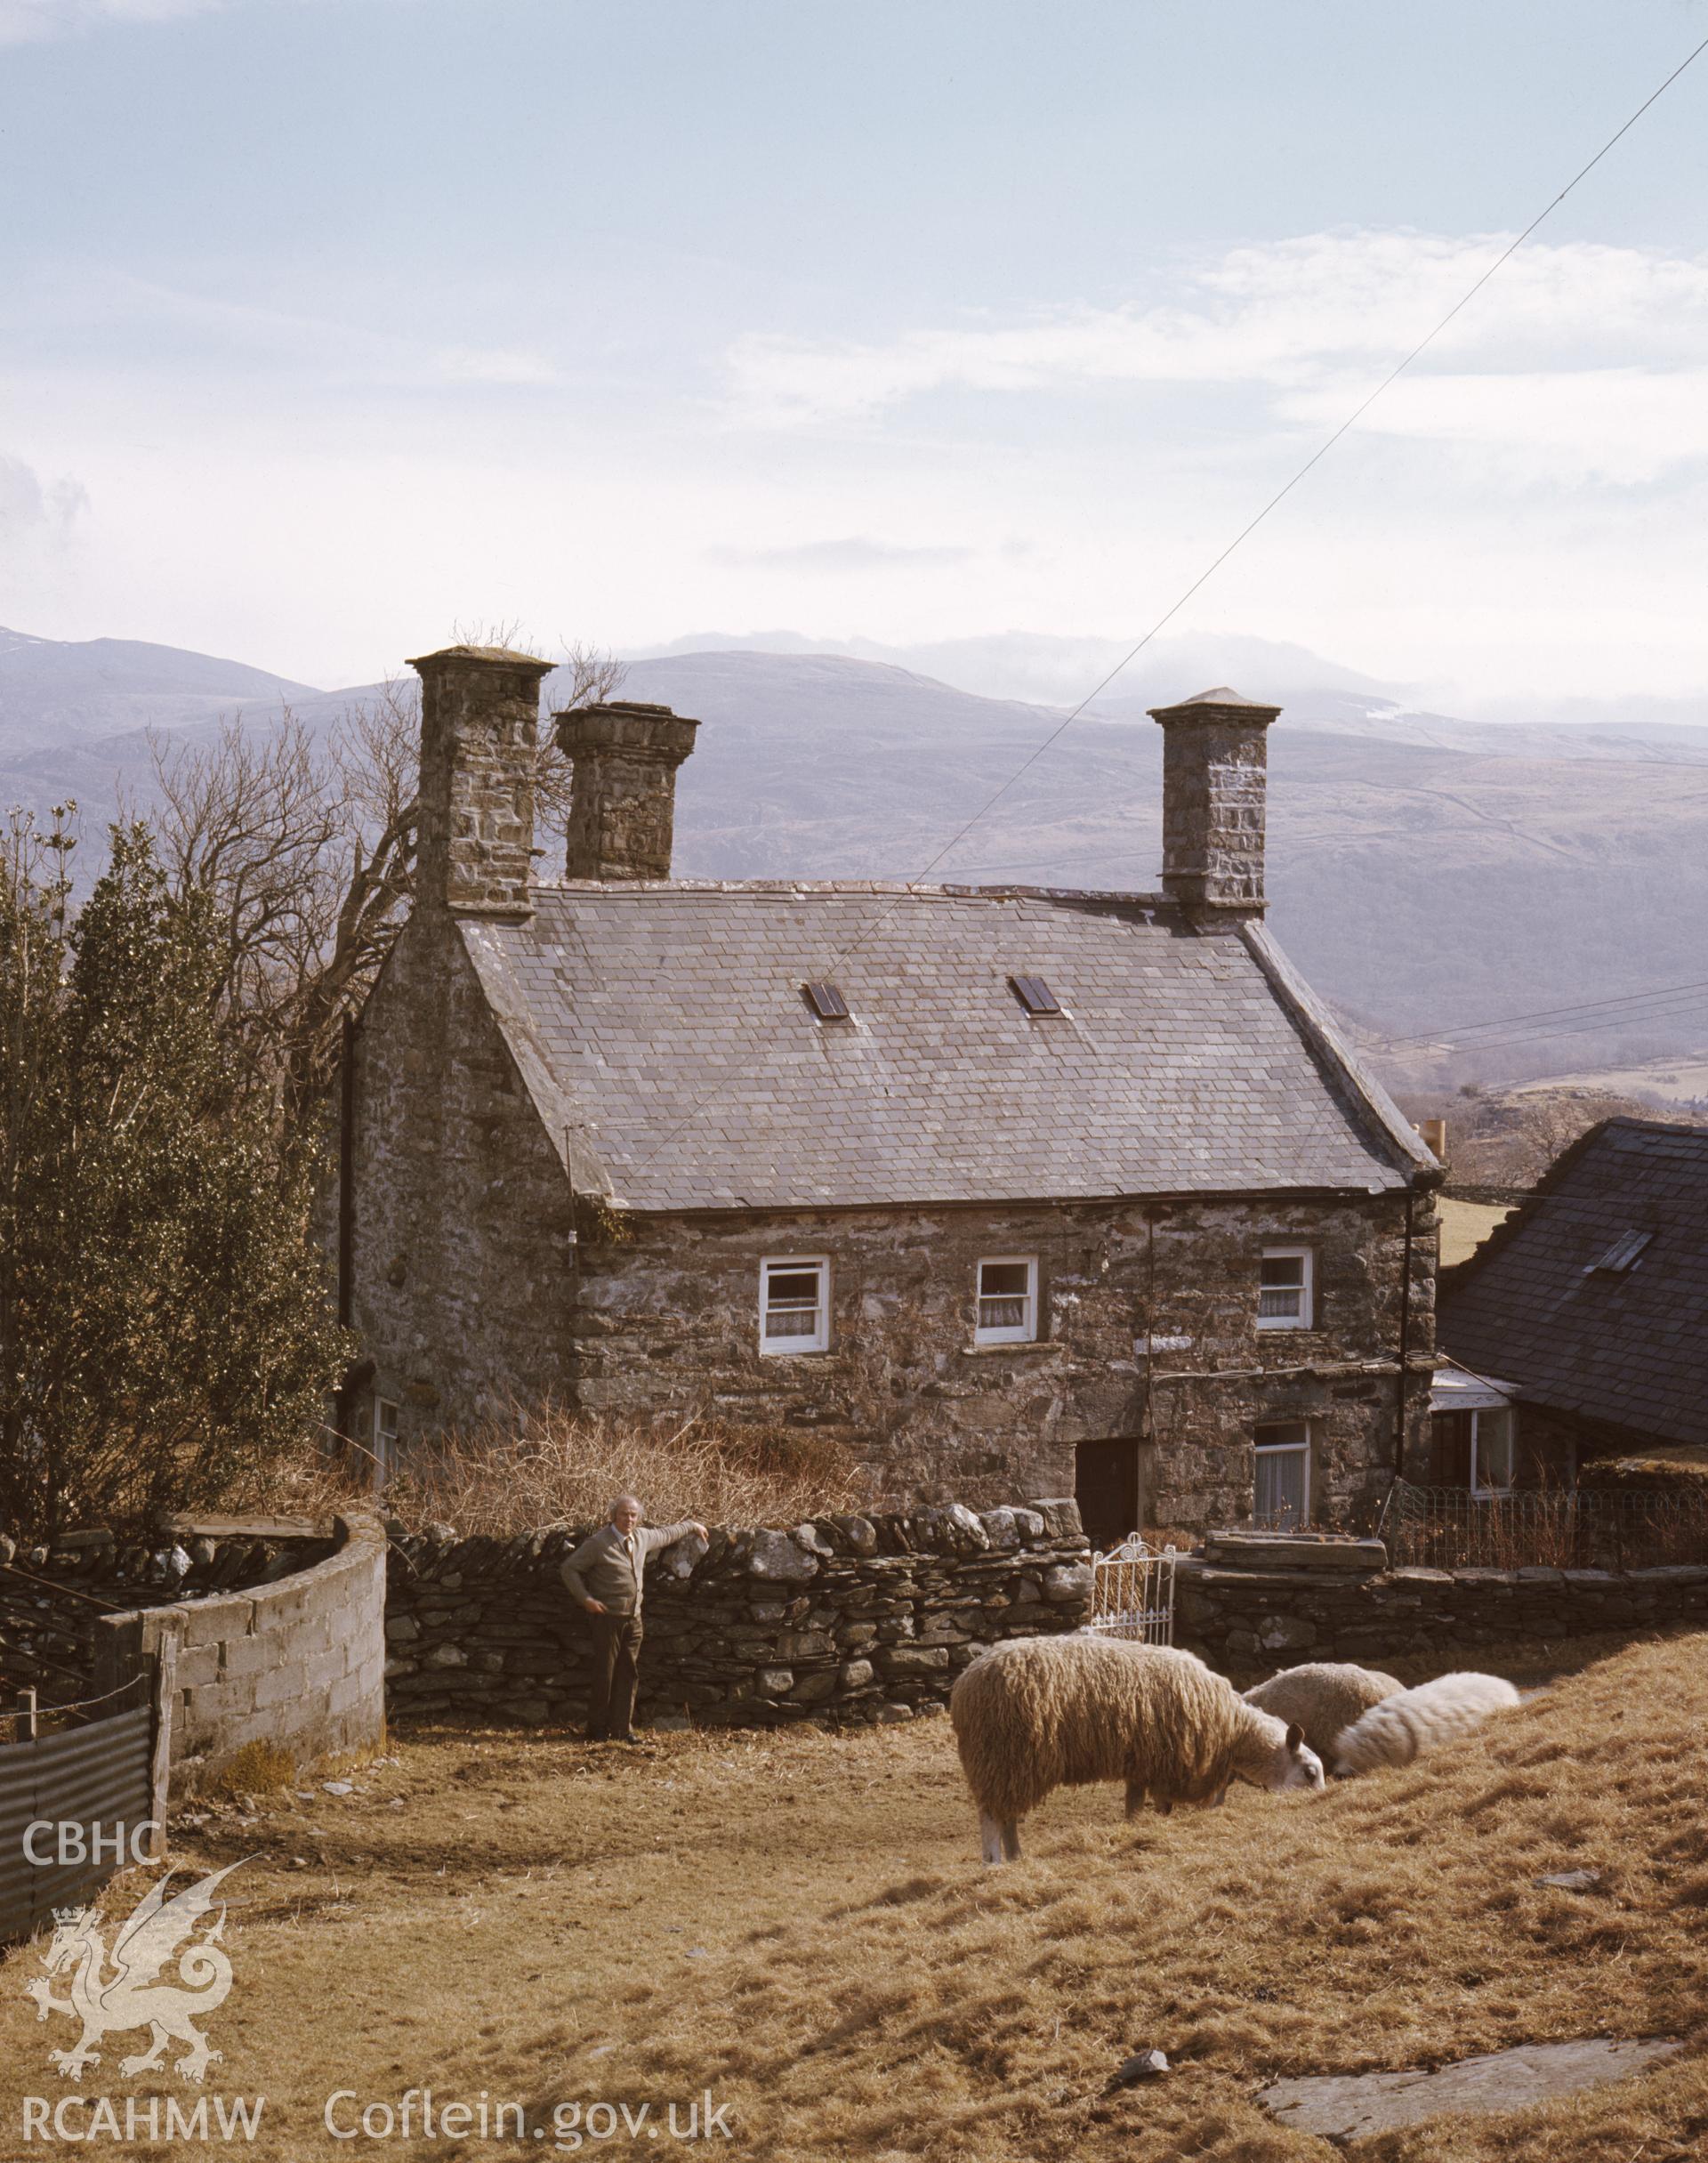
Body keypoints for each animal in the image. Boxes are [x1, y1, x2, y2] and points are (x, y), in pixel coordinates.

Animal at [951, 1626, 1323, 1868]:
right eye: (1310, 1772)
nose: (1321, 1800)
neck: (1232, 1728)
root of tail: (965, 1685)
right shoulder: (1164, 1764)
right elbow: (1157, 1808)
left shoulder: (1143, 1765)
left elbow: (1137, 1808)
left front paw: (1135, 1831)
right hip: (1004, 1757)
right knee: (991, 1816)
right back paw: (994, 1862)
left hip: (1010, 1766)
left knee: (1007, 1815)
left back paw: (1016, 1856)